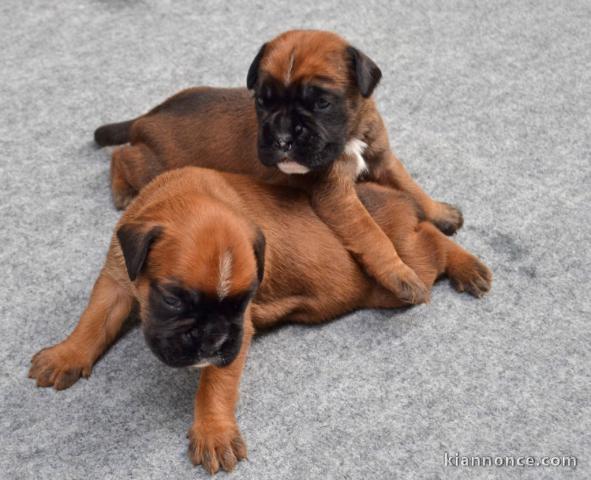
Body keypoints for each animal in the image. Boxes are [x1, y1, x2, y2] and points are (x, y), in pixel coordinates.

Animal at [28, 167, 490, 474]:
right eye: (174, 299)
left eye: (242, 300)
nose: (212, 341)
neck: (182, 196)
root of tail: (390, 197)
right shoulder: (115, 280)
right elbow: (92, 321)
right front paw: (65, 355)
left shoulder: (238, 333)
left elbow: (215, 385)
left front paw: (213, 432)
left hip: (403, 271)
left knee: (432, 244)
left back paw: (466, 264)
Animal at [95, 30, 464, 306]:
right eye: (262, 100)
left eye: (321, 102)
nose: (283, 137)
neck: (349, 134)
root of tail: (147, 117)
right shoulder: (337, 197)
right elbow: (373, 235)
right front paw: (401, 275)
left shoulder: (381, 157)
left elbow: (410, 185)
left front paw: (440, 213)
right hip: (153, 164)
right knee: (123, 156)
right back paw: (122, 190)